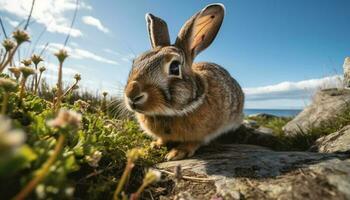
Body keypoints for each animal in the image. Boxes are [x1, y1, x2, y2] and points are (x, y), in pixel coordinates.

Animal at [124, 3, 245, 161]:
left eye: (175, 67)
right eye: (135, 62)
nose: (131, 94)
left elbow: (194, 142)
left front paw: (176, 153)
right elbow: (162, 139)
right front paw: (155, 145)